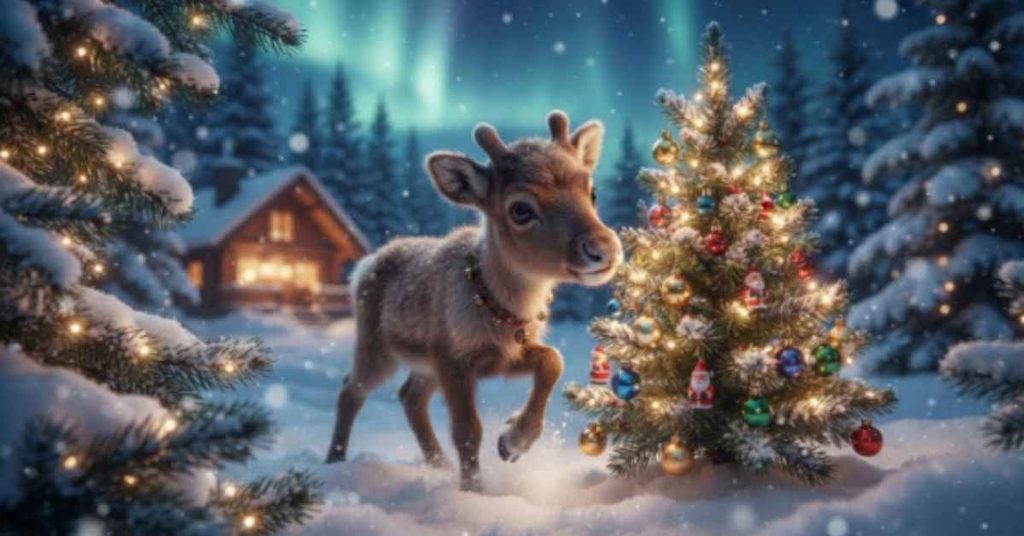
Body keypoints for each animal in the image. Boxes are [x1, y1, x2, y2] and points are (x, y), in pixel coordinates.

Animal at [324, 111, 622, 492]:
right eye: (521, 209)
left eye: (592, 191)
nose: (603, 249)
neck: (501, 308)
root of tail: (366, 264)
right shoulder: (454, 360)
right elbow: (467, 431)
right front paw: (474, 490)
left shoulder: (501, 358)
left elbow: (552, 361)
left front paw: (512, 442)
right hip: (377, 347)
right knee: (352, 389)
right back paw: (334, 461)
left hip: (425, 364)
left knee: (410, 396)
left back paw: (439, 465)